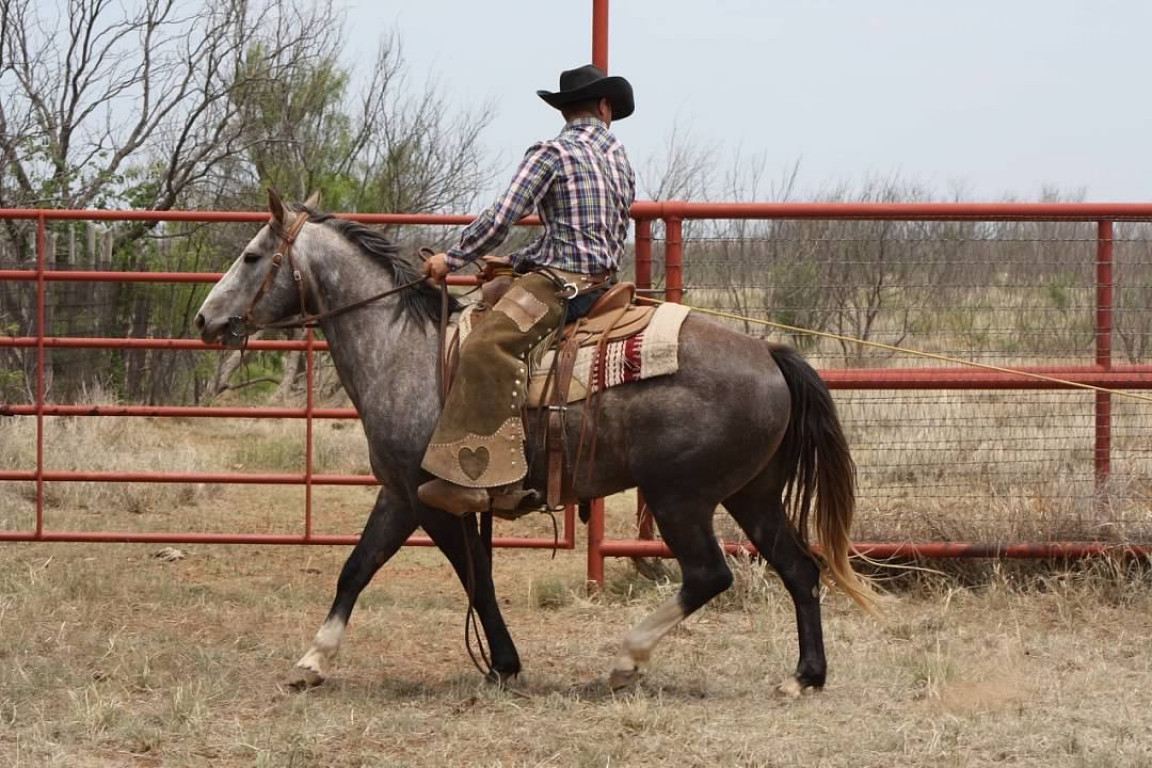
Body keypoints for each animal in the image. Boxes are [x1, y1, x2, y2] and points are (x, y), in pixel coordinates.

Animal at [194, 190, 875, 695]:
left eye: (251, 256)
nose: (205, 320)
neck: (406, 351)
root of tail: (768, 353)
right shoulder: (407, 495)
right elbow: (369, 568)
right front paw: (318, 660)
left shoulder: (427, 499)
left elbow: (454, 576)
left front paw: (498, 662)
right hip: (750, 493)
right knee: (799, 568)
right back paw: (805, 678)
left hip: (682, 497)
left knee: (710, 574)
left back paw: (627, 660)